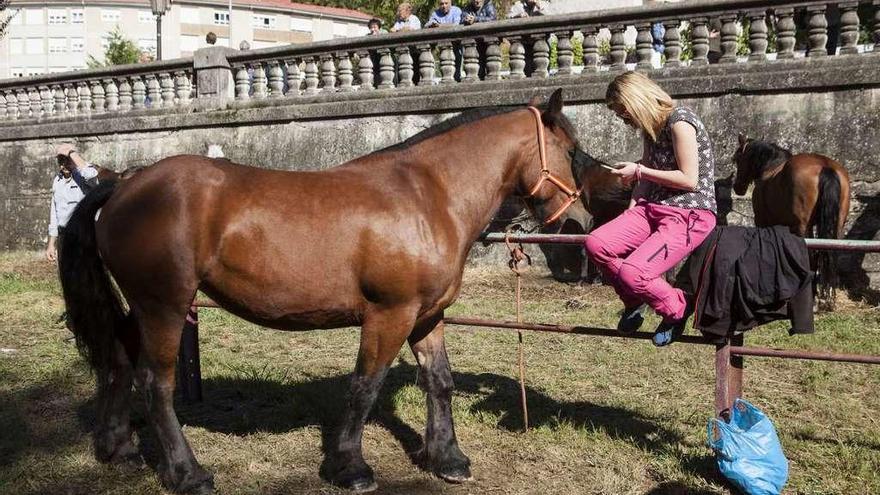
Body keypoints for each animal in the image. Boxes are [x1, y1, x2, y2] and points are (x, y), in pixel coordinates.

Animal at [58, 91, 588, 494]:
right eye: (571, 151)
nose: (579, 229)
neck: (427, 197)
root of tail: (124, 185)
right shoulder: (389, 315)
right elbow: (364, 387)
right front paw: (350, 467)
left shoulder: (426, 315)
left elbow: (439, 381)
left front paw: (448, 458)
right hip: (165, 306)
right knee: (155, 383)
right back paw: (188, 474)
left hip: (143, 309)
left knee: (119, 361)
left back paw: (118, 448)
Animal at [732, 134, 848, 308]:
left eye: (738, 158)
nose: (737, 187)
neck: (771, 168)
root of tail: (825, 167)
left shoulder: (763, 222)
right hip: (837, 226)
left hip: (803, 227)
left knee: (810, 255)